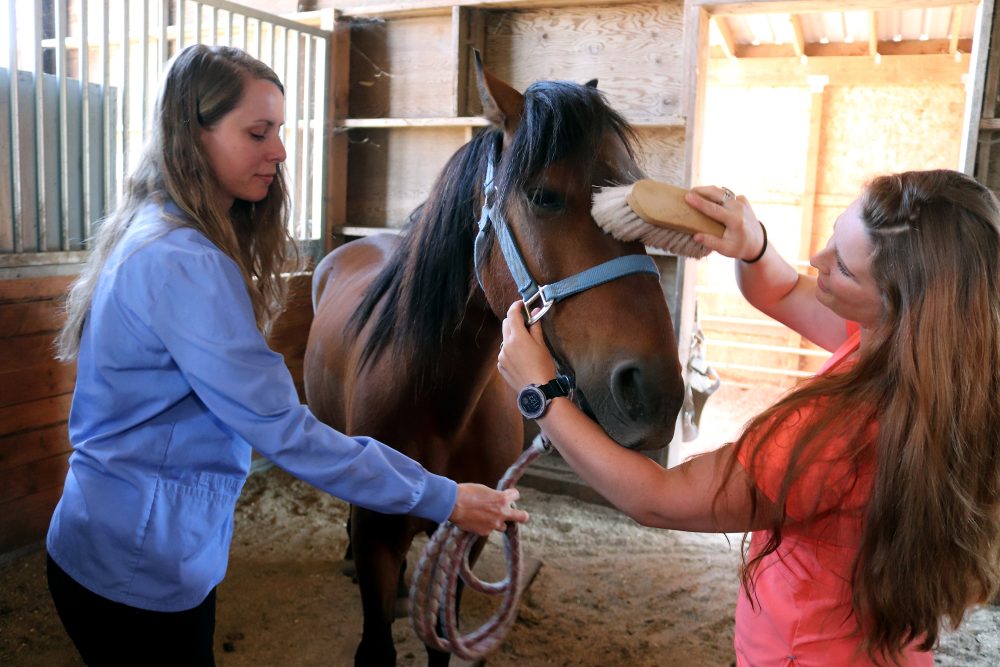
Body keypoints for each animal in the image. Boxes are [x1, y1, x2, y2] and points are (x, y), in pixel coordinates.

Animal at [303, 55, 686, 666]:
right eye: (545, 196)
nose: (654, 392)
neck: (439, 405)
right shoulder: (377, 539)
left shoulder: (473, 534)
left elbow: (441, 635)